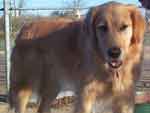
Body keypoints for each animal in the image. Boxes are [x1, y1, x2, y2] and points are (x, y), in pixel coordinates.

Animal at [9, 1, 145, 113]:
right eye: (102, 27)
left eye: (124, 27)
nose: (114, 52)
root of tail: (24, 28)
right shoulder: (85, 95)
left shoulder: (125, 98)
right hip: (24, 84)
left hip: (52, 86)